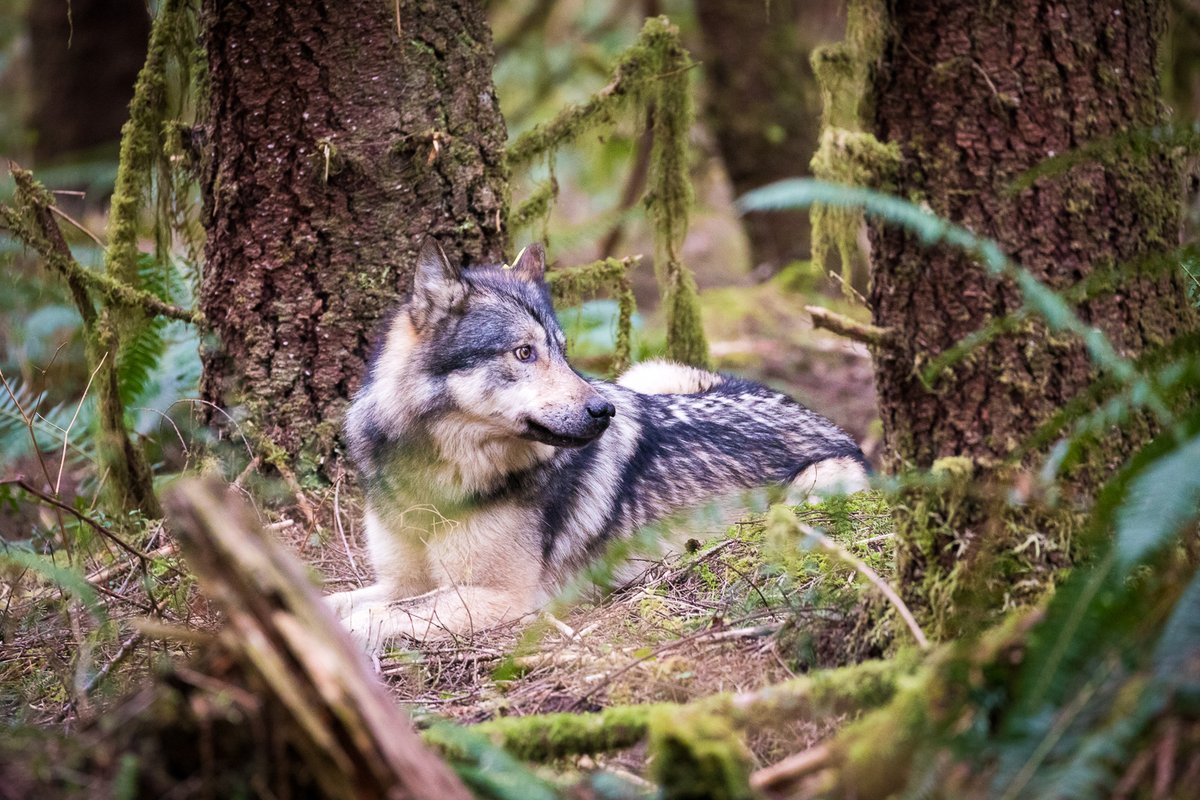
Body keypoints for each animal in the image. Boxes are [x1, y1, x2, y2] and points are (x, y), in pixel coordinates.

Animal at [326, 239, 868, 651]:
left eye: (563, 352)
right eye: (524, 353)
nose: (604, 410)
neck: (436, 481)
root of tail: (830, 423)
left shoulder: (500, 596)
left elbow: (370, 616)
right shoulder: (401, 581)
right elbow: (336, 601)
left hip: (813, 487)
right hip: (648, 373)